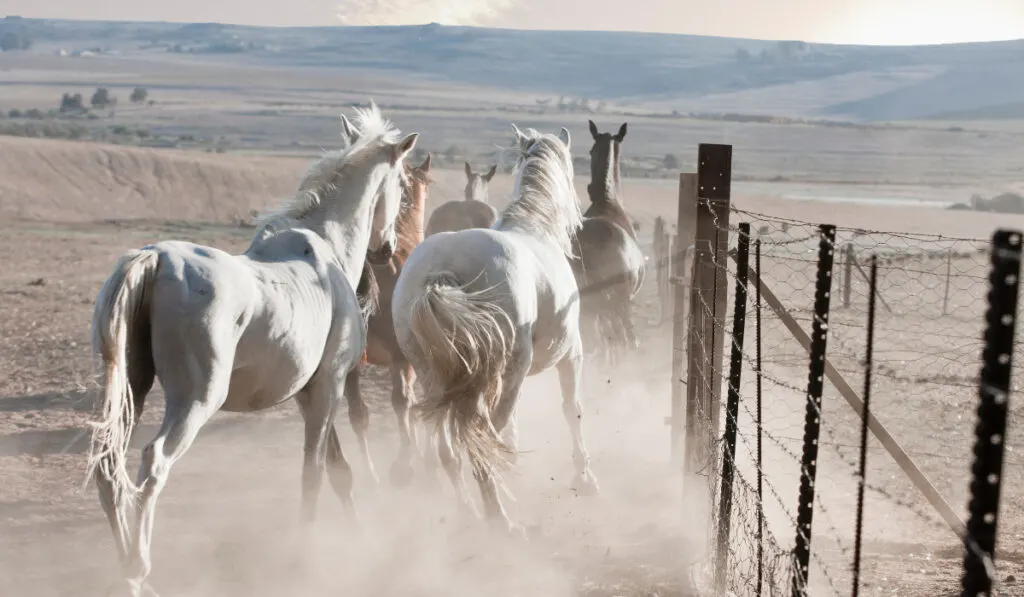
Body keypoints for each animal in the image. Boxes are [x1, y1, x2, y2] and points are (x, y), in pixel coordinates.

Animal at [86, 103, 417, 597]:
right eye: (401, 185)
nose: (387, 248)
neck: (326, 249)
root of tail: (155, 259)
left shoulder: (310, 392)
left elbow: (337, 470)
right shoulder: (330, 386)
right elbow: (314, 473)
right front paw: (307, 556)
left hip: (132, 390)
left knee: (109, 467)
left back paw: (127, 570)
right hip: (196, 400)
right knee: (154, 463)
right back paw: (138, 573)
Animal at [391, 123, 598, 536]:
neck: (535, 229)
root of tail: (439, 274)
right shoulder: (572, 353)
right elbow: (573, 410)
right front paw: (585, 478)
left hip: (434, 378)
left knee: (449, 450)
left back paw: (468, 511)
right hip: (508, 372)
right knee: (483, 438)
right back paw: (500, 518)